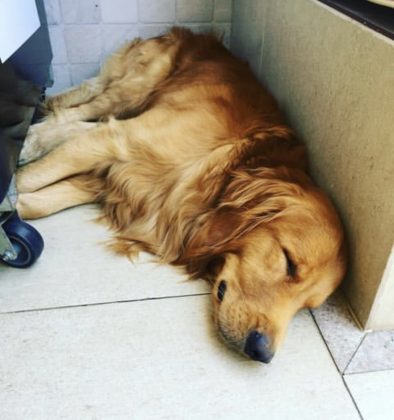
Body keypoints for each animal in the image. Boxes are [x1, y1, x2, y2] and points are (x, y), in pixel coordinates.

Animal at [16, 28, 346, 364]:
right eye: (289, 262)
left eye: (306, 306)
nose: (262, 353)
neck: (229, 166)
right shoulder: (117, 144)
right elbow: (32, 177)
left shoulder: (120, 182)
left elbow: (40, 201)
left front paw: (17, 206)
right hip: (133, 92)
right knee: (77, 113)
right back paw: (32, 138)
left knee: (78, 113)